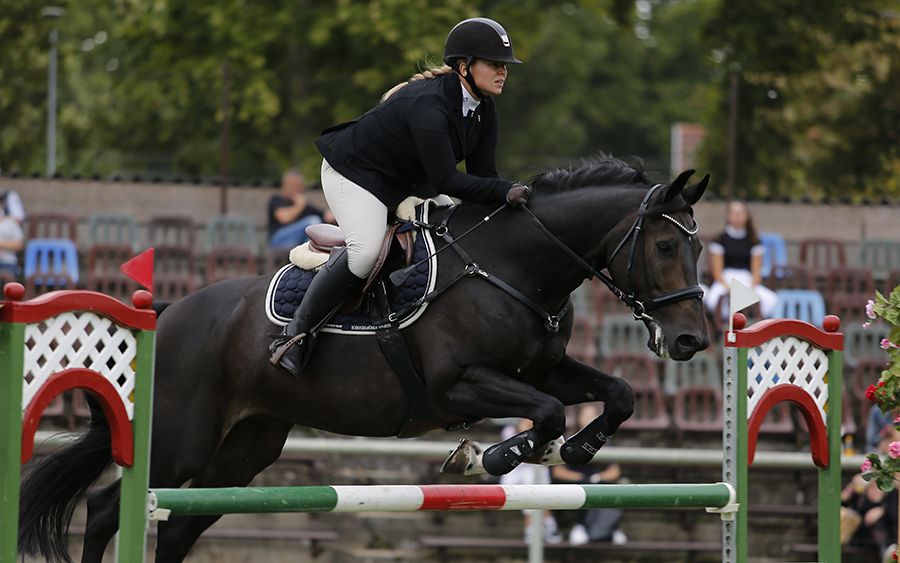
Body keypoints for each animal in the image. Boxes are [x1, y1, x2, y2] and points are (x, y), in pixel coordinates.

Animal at [19, 155, 712, 563]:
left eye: (698, 248)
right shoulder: (456, 387)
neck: (515, 268)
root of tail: (163, 315)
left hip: (243, 449)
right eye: (664, 246)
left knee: (183, 525)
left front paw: (577, 449)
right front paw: (494, 456)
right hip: (176, 441)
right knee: (108, 511)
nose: (691, 342)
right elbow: (543, 412)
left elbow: (617, 393)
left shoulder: (542, 369)